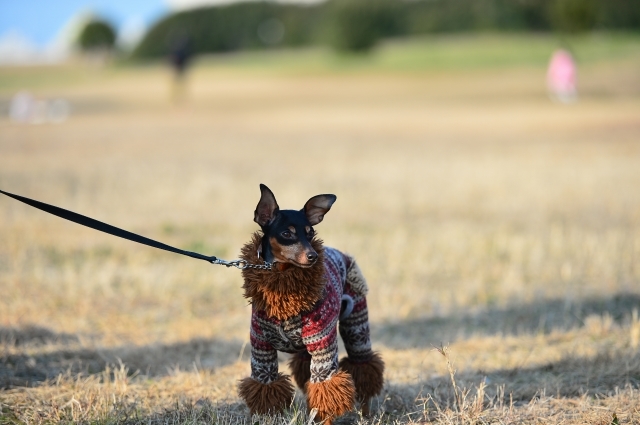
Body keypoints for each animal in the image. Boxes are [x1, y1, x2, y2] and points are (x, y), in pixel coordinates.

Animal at [236, 185, 382, 424]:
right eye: (287, 233)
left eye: (310, 232)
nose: (313, 256)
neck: (283, 287)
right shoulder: (261, 348)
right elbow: (266, 387)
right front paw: (268, 416)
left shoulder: (323, 345)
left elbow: (325, 387)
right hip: (306, 349)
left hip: (356, 325)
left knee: (363, 367)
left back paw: (366, 412)